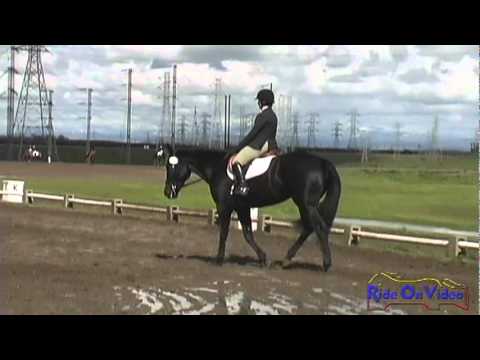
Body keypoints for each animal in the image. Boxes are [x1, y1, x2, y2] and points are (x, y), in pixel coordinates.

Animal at [161, 145, 342, 272]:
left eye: (171, 167)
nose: (168, 192)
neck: (217, 167)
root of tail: (323, 163)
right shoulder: (242, 207)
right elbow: (248, 234)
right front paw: (263, 259)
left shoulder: (224, 207)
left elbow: (224, 233)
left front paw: (219, 260)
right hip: (305, 205)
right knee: (309, 228)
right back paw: (286, 260)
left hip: (306, 204)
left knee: (319, 227)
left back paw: (326, 264)